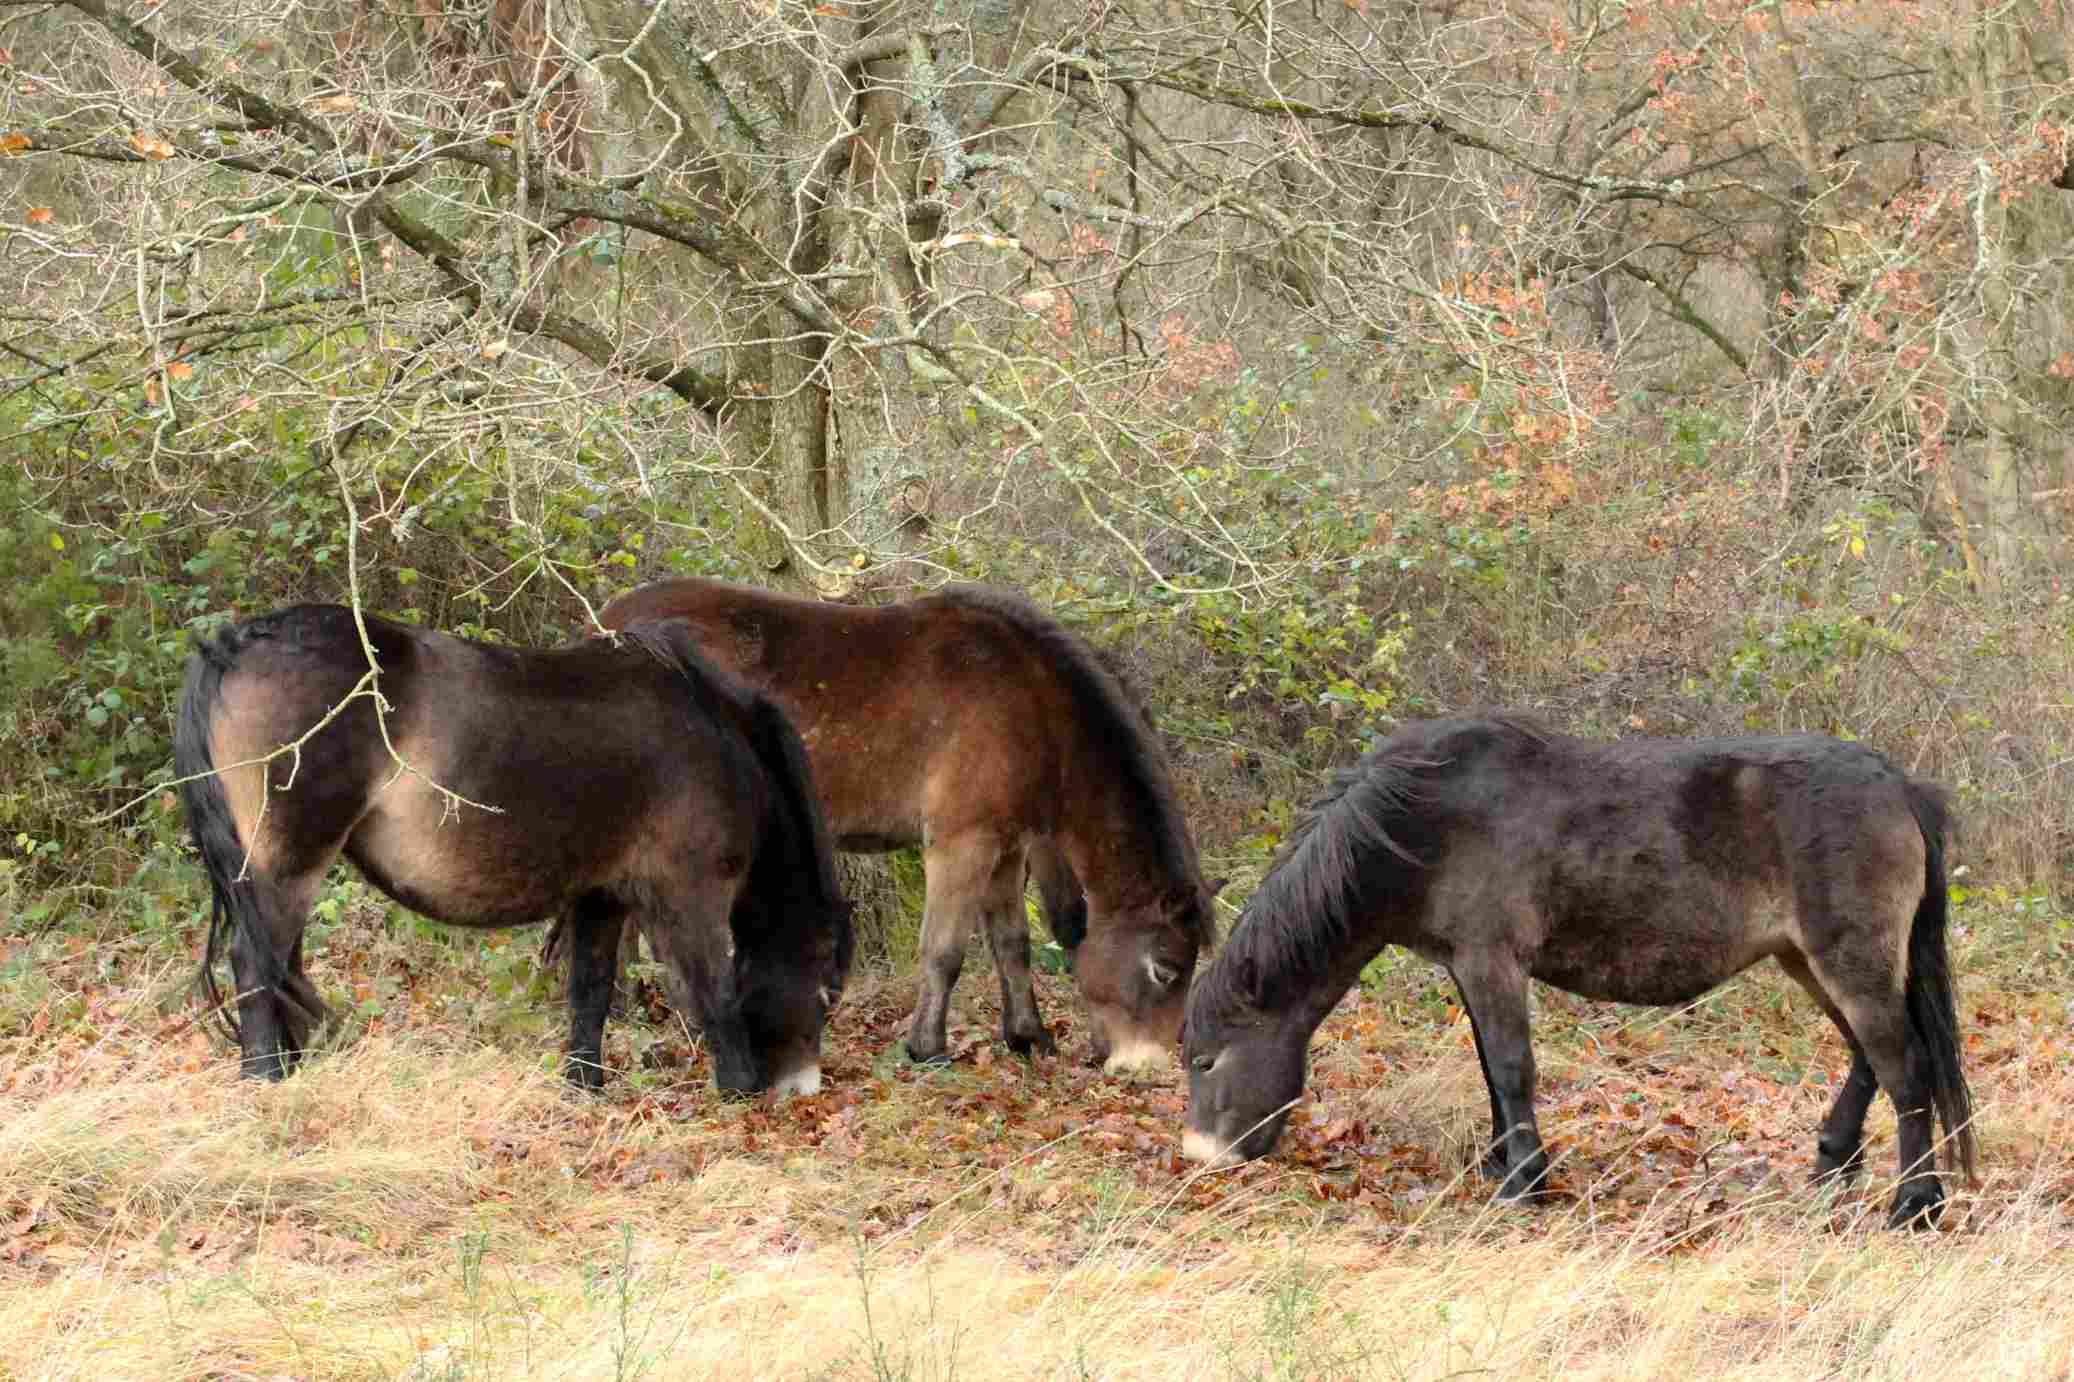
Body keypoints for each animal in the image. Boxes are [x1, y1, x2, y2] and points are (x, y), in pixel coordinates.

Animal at [178, 601, 850, 1087]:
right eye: (822, 985)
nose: (798, 1088)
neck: (716, 737)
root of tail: (239, 642)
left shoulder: (603, 897)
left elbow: (590, 992)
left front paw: (584, 1087)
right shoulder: (692, 895)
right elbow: (716, 993)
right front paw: (739, 1093)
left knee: (281, 965)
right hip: (289, 863)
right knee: (256, 963)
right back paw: (266, 1080)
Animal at [568, 576, 1211, 1070]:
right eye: (1166, 969)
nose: (1157, 1063)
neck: (1030, 703)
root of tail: (607, 626)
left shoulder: (1005, 848)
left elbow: (1012, 944)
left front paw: (1028, 1037)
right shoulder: (962, 842)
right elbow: (945, 951)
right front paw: (927, 1048)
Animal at [1186, 713, 1974, 1220]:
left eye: (1203, 1061)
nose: (1199, 1159)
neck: (1421, 820)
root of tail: (1899, 785)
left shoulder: (1493, 961)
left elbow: (1511, 1069)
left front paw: (1524, 1185)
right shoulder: (1467, 968)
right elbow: (1490, 1069)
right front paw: (1504, 1165)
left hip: (1849, 961)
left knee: (1906, 1071)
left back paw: (1915, 1203)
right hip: (1810, 961)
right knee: (1871, 1059)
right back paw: (1834, 1161)